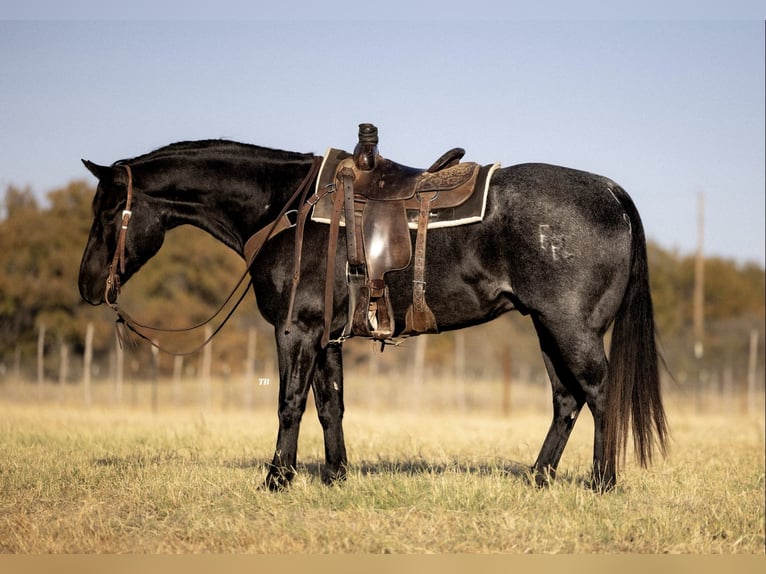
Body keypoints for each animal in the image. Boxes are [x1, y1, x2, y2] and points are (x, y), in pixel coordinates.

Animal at [78, 137, 664, 492]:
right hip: (546, 328)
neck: (286, 209)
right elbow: (329, 406)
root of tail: (608, 190)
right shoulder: (326, 337)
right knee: (566, 400)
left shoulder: (296, 329)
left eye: (107, 212)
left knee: (598, 394)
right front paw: (335, 475)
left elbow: (289, 404)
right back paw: (538, 477)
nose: (86, 285)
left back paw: (603, 481)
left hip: (571, 329)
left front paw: (278, 478)